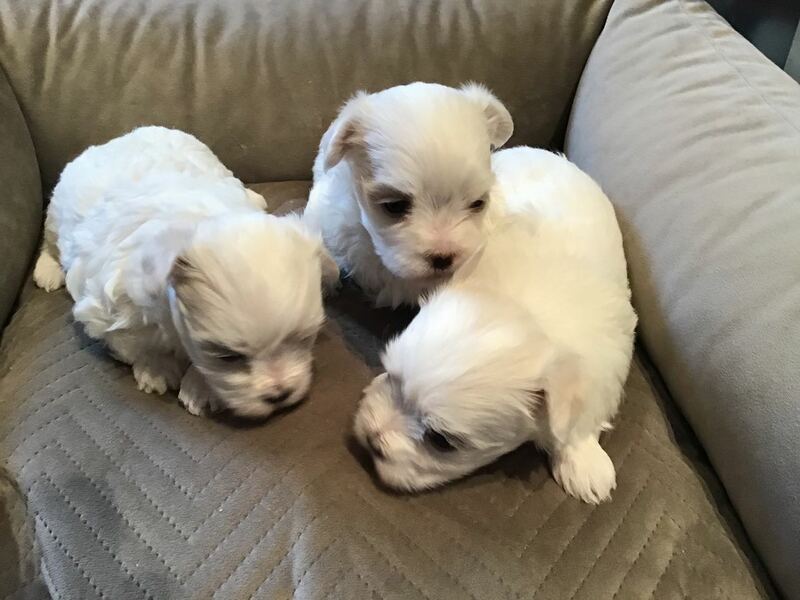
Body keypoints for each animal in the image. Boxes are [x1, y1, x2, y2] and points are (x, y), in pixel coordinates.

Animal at [34, 126, 338, 419]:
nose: (280, 395)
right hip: (57, 211)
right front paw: (156, 368)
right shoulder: (107, 307)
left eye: (304, 339)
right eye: (227, 357)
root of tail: (117, 139)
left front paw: (199, 388)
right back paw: (47, 270)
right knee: (50, 242)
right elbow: (135, 341)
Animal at [353, 147, 637, 503]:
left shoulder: (607, 356)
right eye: (391, 375)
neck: (526, 309)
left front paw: (583, 462)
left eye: (440, 441)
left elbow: (586, 411)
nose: (371, 437)